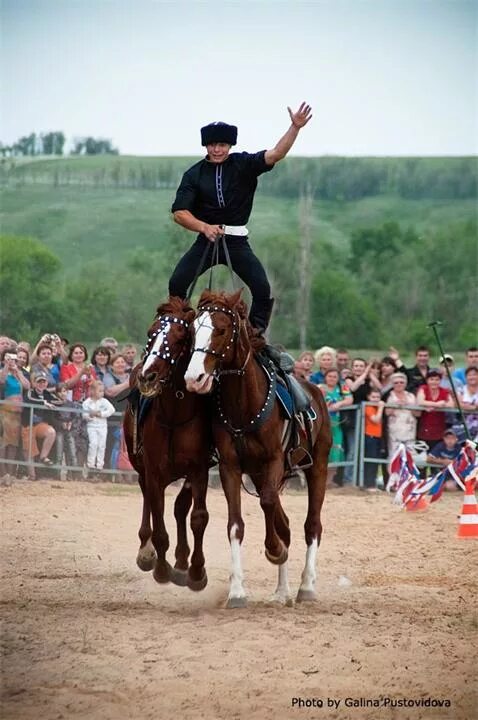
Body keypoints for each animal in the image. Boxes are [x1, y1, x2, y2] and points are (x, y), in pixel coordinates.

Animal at [124, 296, 212, 592]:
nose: (147, 377)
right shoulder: (154, 471)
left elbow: (196, 517)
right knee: (148, 498)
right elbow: (159, 524)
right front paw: (160, 568)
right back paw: (146, 550)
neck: (175, 415)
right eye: (151, 334)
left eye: (180, 338)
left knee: (180, 508)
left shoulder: (198, 470)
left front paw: (195, 572)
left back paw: (182, 562)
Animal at [184, 288, 332, 608]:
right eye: (192, 331)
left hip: (318, 467)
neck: (244, 403)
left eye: (221, 329)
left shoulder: (274, 460)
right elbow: (235, 524)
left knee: (311, 525)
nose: (193, 378)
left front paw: (273, 551)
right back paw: (281, 591)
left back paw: (306, 587)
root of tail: (316, 392)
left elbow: (267, 504)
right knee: (285, 524)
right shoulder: (231, 467)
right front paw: (237, 591)